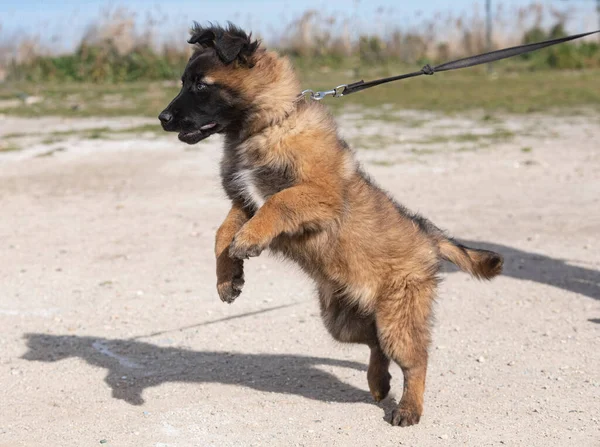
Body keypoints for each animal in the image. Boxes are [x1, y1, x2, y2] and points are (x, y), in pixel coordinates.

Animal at [159, 22, 502, 428]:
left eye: (201, 86)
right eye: (184, 82)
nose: (162, 118)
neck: (269, 124)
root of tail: (428, 234)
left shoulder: (320, 195)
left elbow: (278, 202)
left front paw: (248, 242)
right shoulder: (243, 200)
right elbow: (221, 233)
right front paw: (228, 278)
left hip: (397, 317)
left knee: (415, 360)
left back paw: (408, 407)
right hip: (340, 320)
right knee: (375, 344)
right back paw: (378, 383)